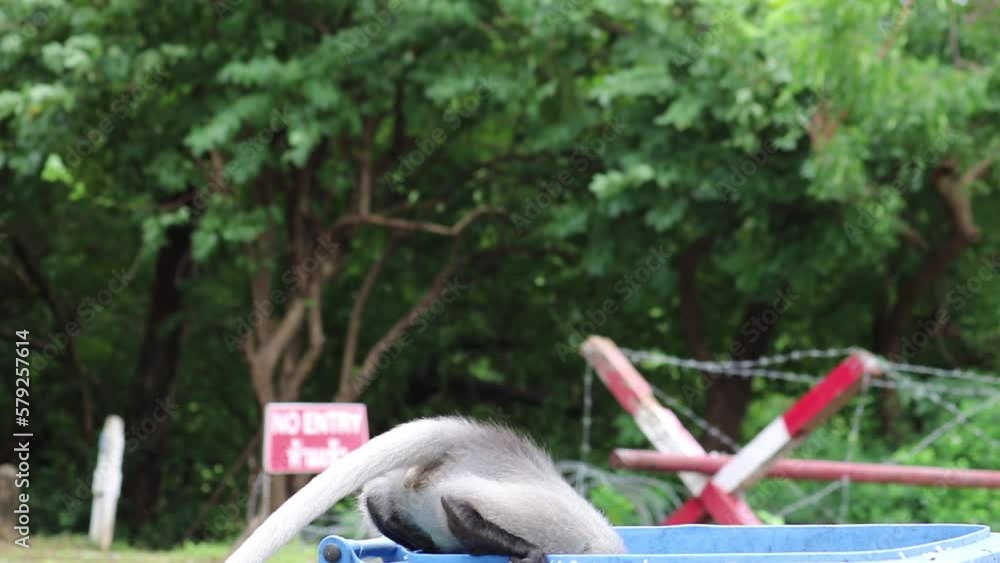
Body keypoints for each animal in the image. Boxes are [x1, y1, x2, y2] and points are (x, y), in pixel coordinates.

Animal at [226, 416, 626, 563]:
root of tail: (463, 440)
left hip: (399, 493)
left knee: (376, 498)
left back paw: (423, 543)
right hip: (538, 514)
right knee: (458, 506)